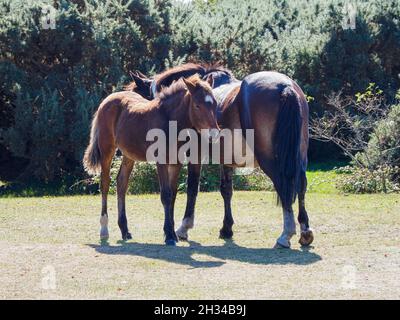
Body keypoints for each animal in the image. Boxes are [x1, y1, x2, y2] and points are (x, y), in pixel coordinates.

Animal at [82, 75, 217, 245]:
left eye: (215, 103)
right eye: (198, 105)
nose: (214, 133)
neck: (171, 121)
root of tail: (107, 100)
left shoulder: (176, 162)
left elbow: (172, 194)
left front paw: (171, 232)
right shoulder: (161, 161)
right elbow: (165, 195)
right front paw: (169, 235)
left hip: (129, 154)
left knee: (121, 183)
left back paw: (125, 230)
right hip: (107, 150)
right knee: (105, 183)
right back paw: (104, 229)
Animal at [128, 63, 312, 249]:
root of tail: (285, 87)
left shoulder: (194, 155)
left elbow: (192, 188)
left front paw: (184, 227)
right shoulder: (227, 160)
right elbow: (226, 190)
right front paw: (226, 228)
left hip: (269, 159)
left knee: (283, 185)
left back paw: (286, 234)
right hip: (300, 157)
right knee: (301, 185)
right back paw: (305, 231)